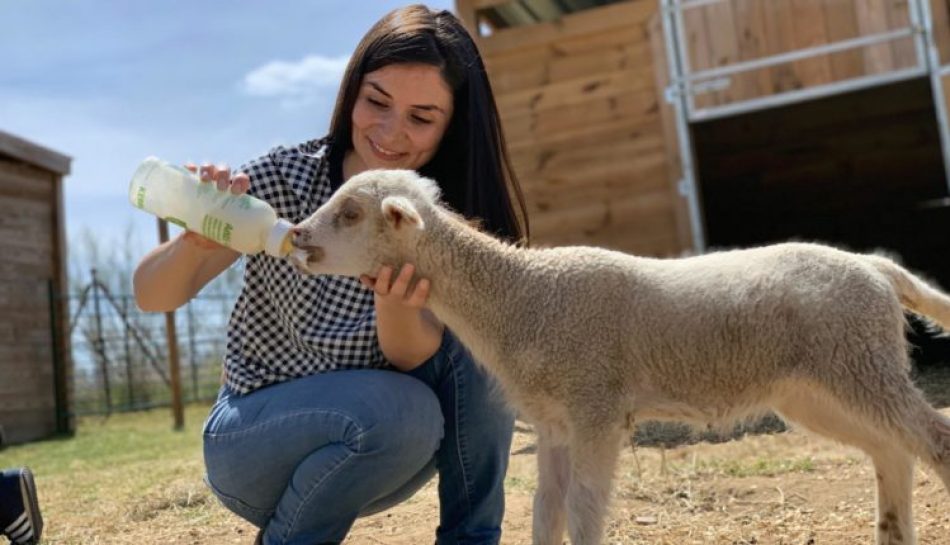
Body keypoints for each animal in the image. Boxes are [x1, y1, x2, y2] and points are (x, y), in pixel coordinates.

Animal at [288, 169, 950, 544]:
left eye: (351, 213)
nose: (296, 236)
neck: (523, 296)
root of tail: (875, 267)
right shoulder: (555, 422)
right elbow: (546, 513)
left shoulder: (596, 406)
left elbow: (583, 511)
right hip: (819, 386)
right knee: (893, 450)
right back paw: (893, 535)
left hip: (856, 361)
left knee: (931, 437)